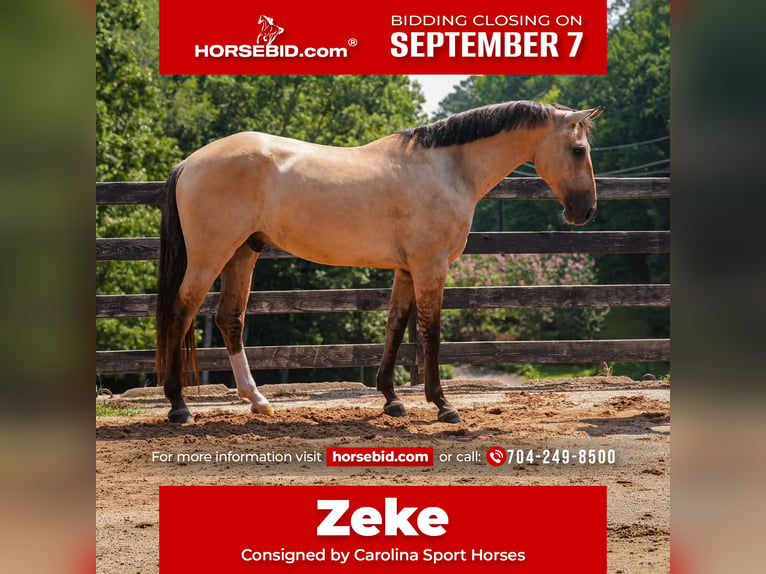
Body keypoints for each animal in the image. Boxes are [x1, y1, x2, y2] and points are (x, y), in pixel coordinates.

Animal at [156, 100, 604, 424]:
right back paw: (179, 406)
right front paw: (443, 405)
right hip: (211, 254)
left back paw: (258, 400)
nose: (585, 211)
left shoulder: (406, 269)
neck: (446, 167)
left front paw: (391, 399)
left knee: (229, 319)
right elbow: (429, 333)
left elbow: (395, 327)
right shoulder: (430, 266)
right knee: (181, 312)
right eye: (578, 149)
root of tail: (189, 162)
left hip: (242, 252)